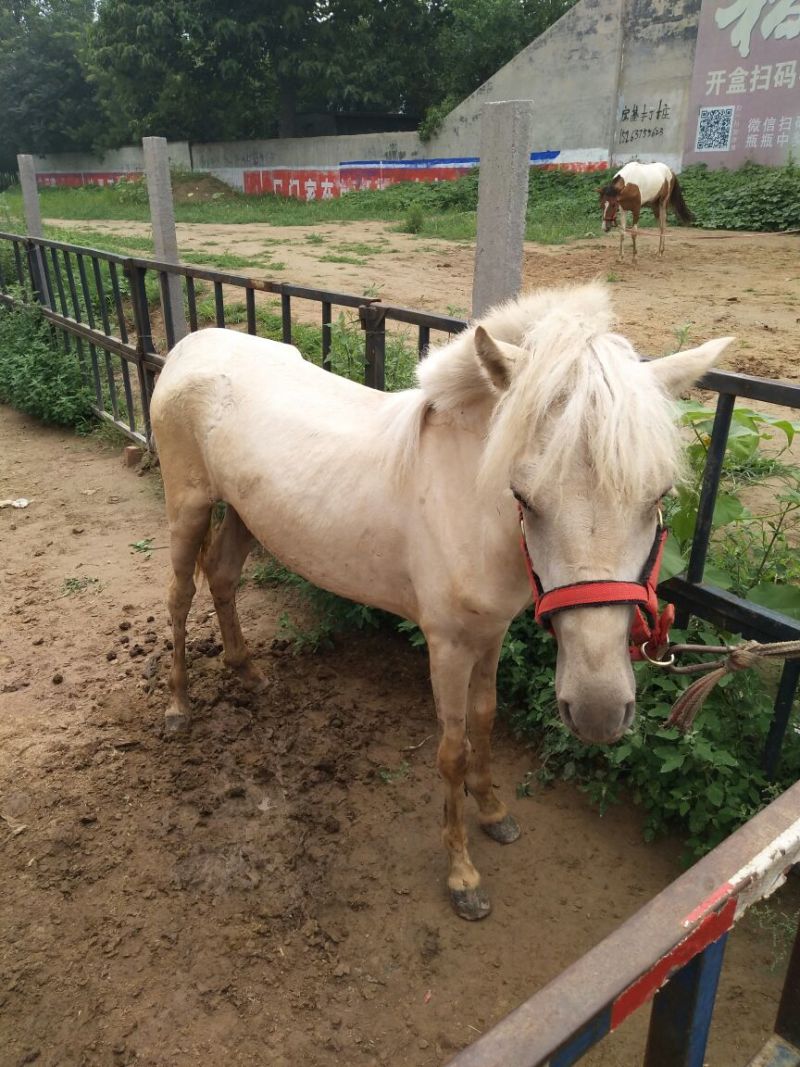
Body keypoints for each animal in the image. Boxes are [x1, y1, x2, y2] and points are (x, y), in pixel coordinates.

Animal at [150, 283, 731, 921]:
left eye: (657, 497)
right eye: (524, 496)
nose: (600, 712)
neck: (469, 504)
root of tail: (193, 345)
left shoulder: (491, 633)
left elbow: (486, 717)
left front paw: (494, 811)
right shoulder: (448, 646)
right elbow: (451, 750)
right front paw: (462, 876)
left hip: (243, 513)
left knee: (223, 577)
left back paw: (247, 672)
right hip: (187, 507)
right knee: (180, 596)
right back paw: (178, 707)